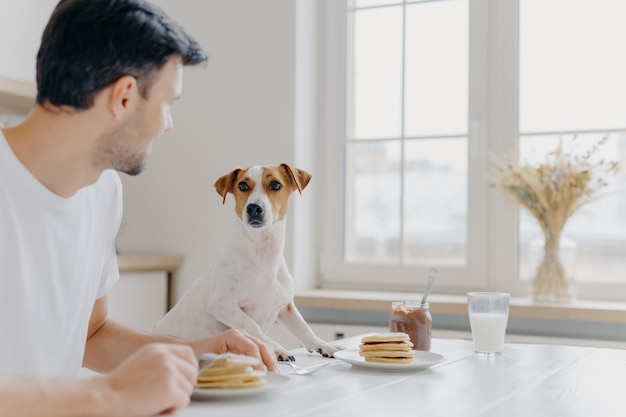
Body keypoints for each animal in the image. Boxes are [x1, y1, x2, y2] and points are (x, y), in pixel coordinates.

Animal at [154, 164, 344, 360]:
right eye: (243, 186)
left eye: (276, 185)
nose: (253, 208)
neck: (263, 255)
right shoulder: (223, 305)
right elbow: (252, 326)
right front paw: (275, 349)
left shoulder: (286, 307)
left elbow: (305, 329)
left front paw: (324, 345)